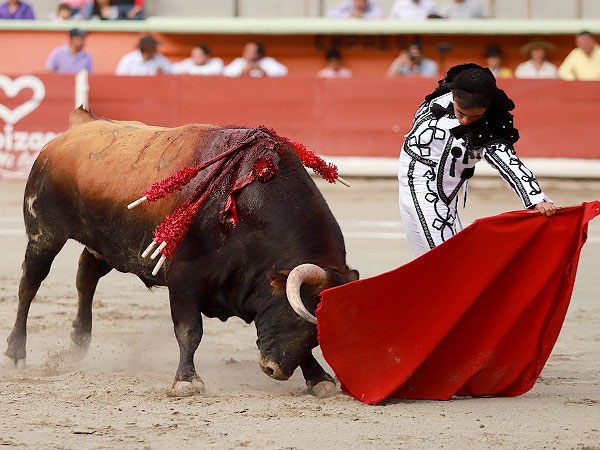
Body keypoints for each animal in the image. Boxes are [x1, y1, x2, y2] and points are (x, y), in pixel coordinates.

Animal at [3, 107, 356, 396]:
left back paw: (78, 345)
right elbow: (189, 330)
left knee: (85, 278)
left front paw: (320, 379)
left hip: (105, 245)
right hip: (44, 235)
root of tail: (77, 127)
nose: (276, 370)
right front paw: (187, 381)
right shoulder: (184, 277)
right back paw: (15, 353)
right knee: (29, 285)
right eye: (296, 315)